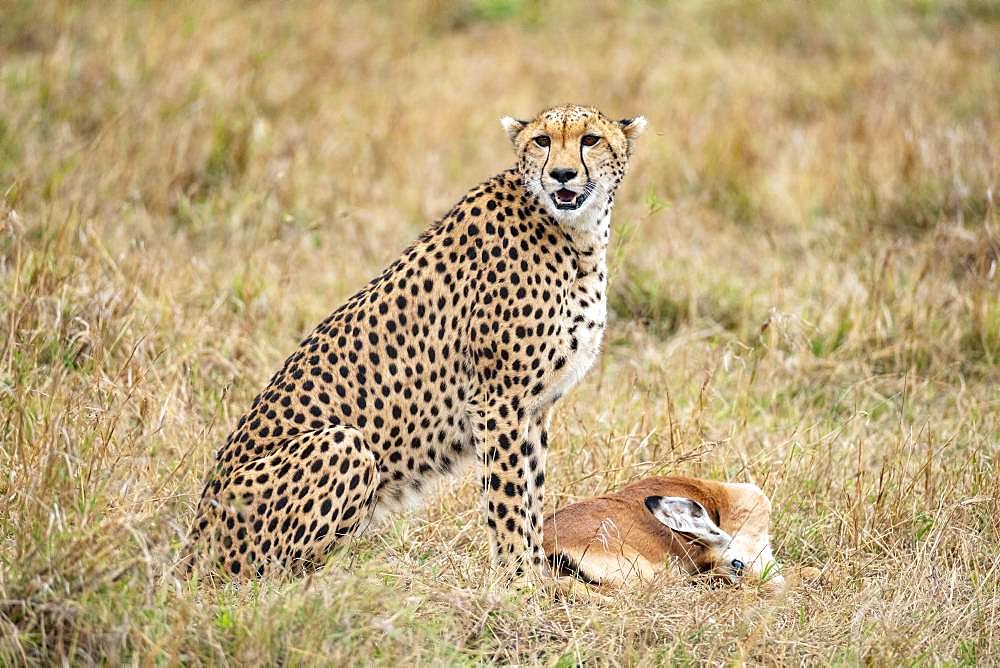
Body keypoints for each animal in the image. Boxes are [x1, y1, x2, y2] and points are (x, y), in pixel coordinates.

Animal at [183, 104, 644, 580]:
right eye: (542, 141)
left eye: (590, 139)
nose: (562, 175)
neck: (575, 233)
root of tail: (191, 548)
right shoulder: (498, 401)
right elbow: (509, 497)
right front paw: (519, 578)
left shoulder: (534, 408)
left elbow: (530, 493)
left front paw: (534, 572)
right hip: (344, 444)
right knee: (274, 577)